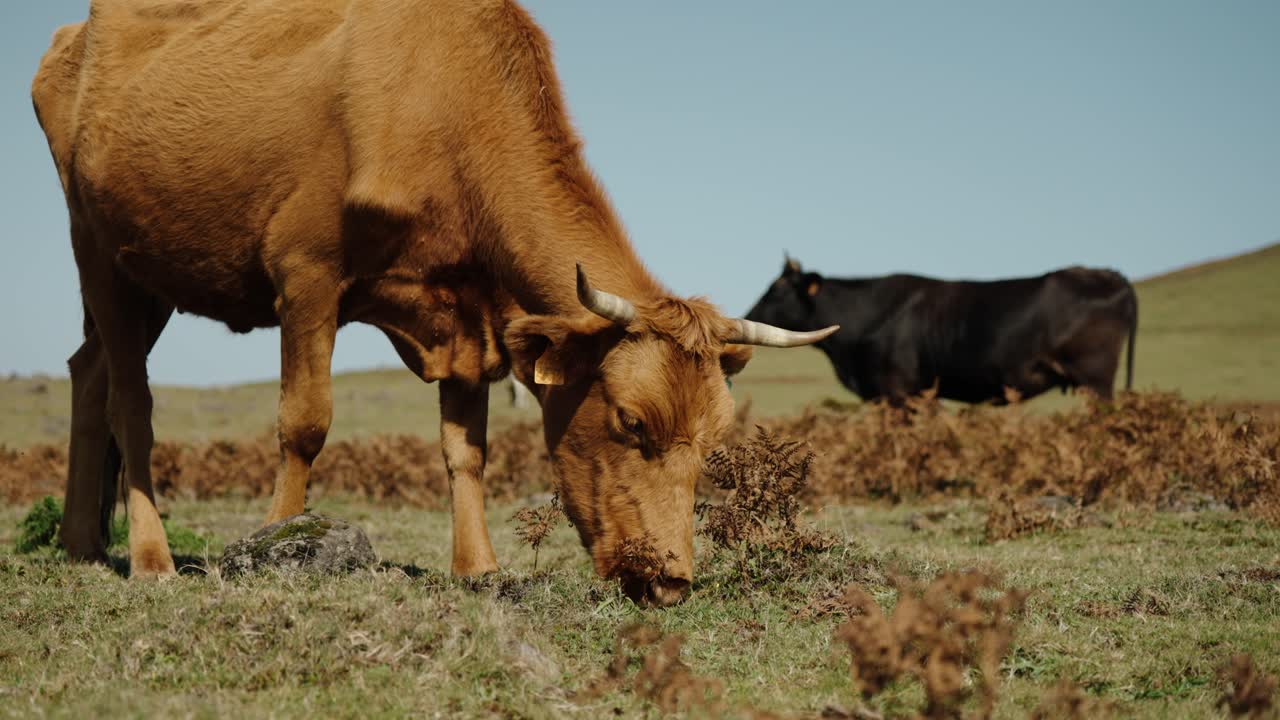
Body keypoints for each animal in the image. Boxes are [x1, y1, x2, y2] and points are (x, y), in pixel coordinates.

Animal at [32, 0, 835, 606]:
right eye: (631, 422)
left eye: (714, 442)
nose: (671, 580)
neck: (446, 99)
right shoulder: (306, 273)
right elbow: (305, 424)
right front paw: (277, 539)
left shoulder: (471, 314)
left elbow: (465, 448)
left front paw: (477, 567)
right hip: (95, 248)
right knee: (131, 401)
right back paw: (149, 558)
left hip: (148, 277)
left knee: (88, 373)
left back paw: (81, 543)